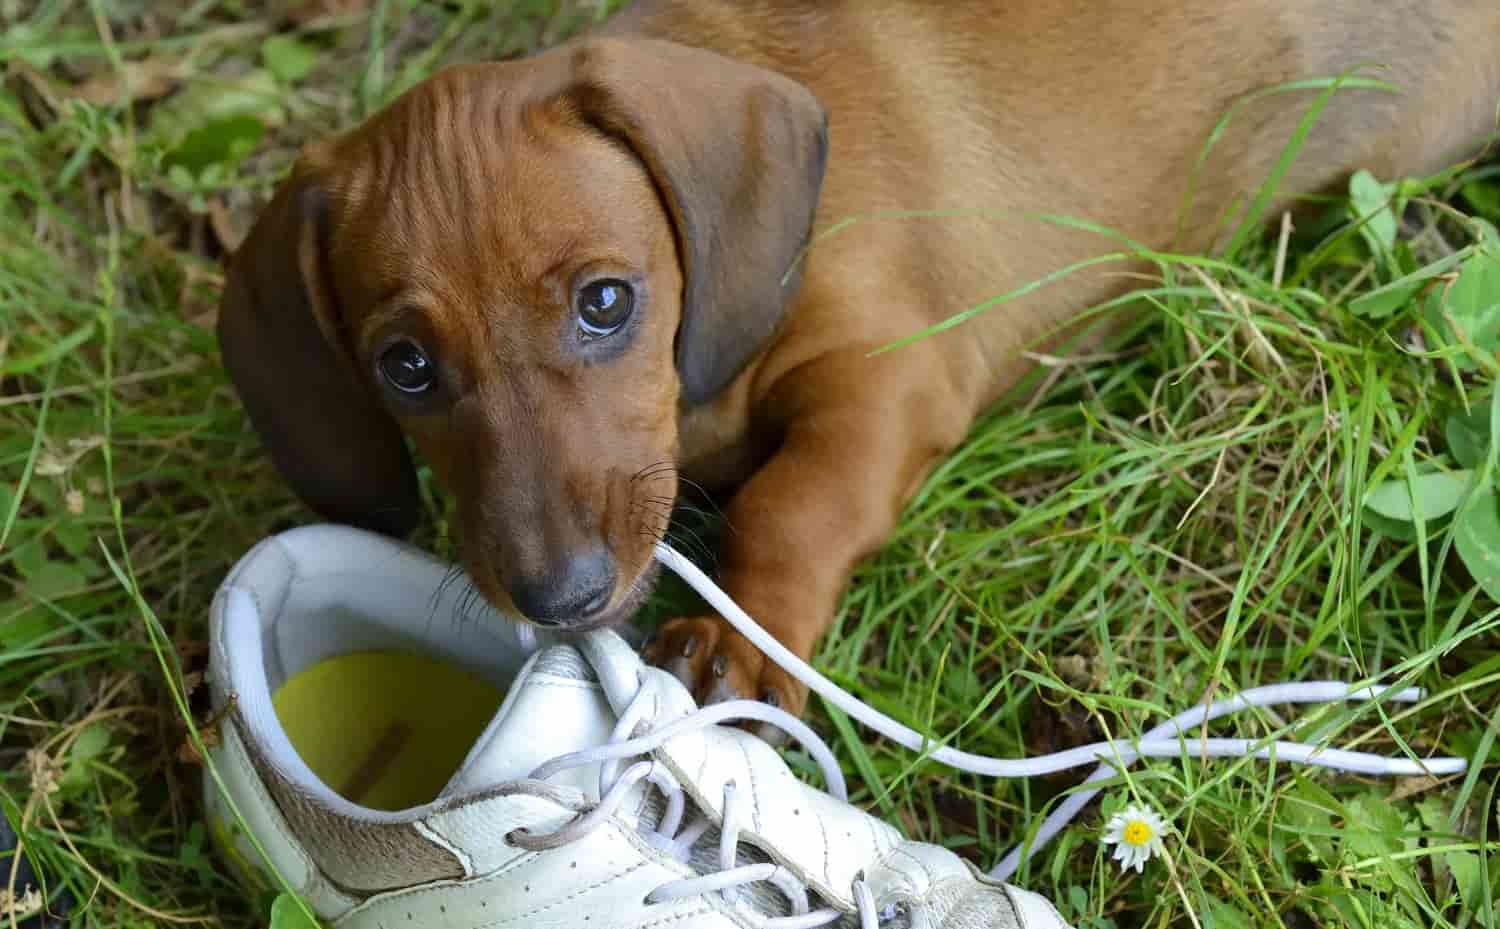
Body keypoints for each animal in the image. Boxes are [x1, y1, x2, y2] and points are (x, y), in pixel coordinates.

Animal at [217, 0, 1494, 717]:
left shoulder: (892, 376)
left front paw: (739, 637)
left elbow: (792, 504)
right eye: (405, 367)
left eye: (606, 302)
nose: (563, 597)